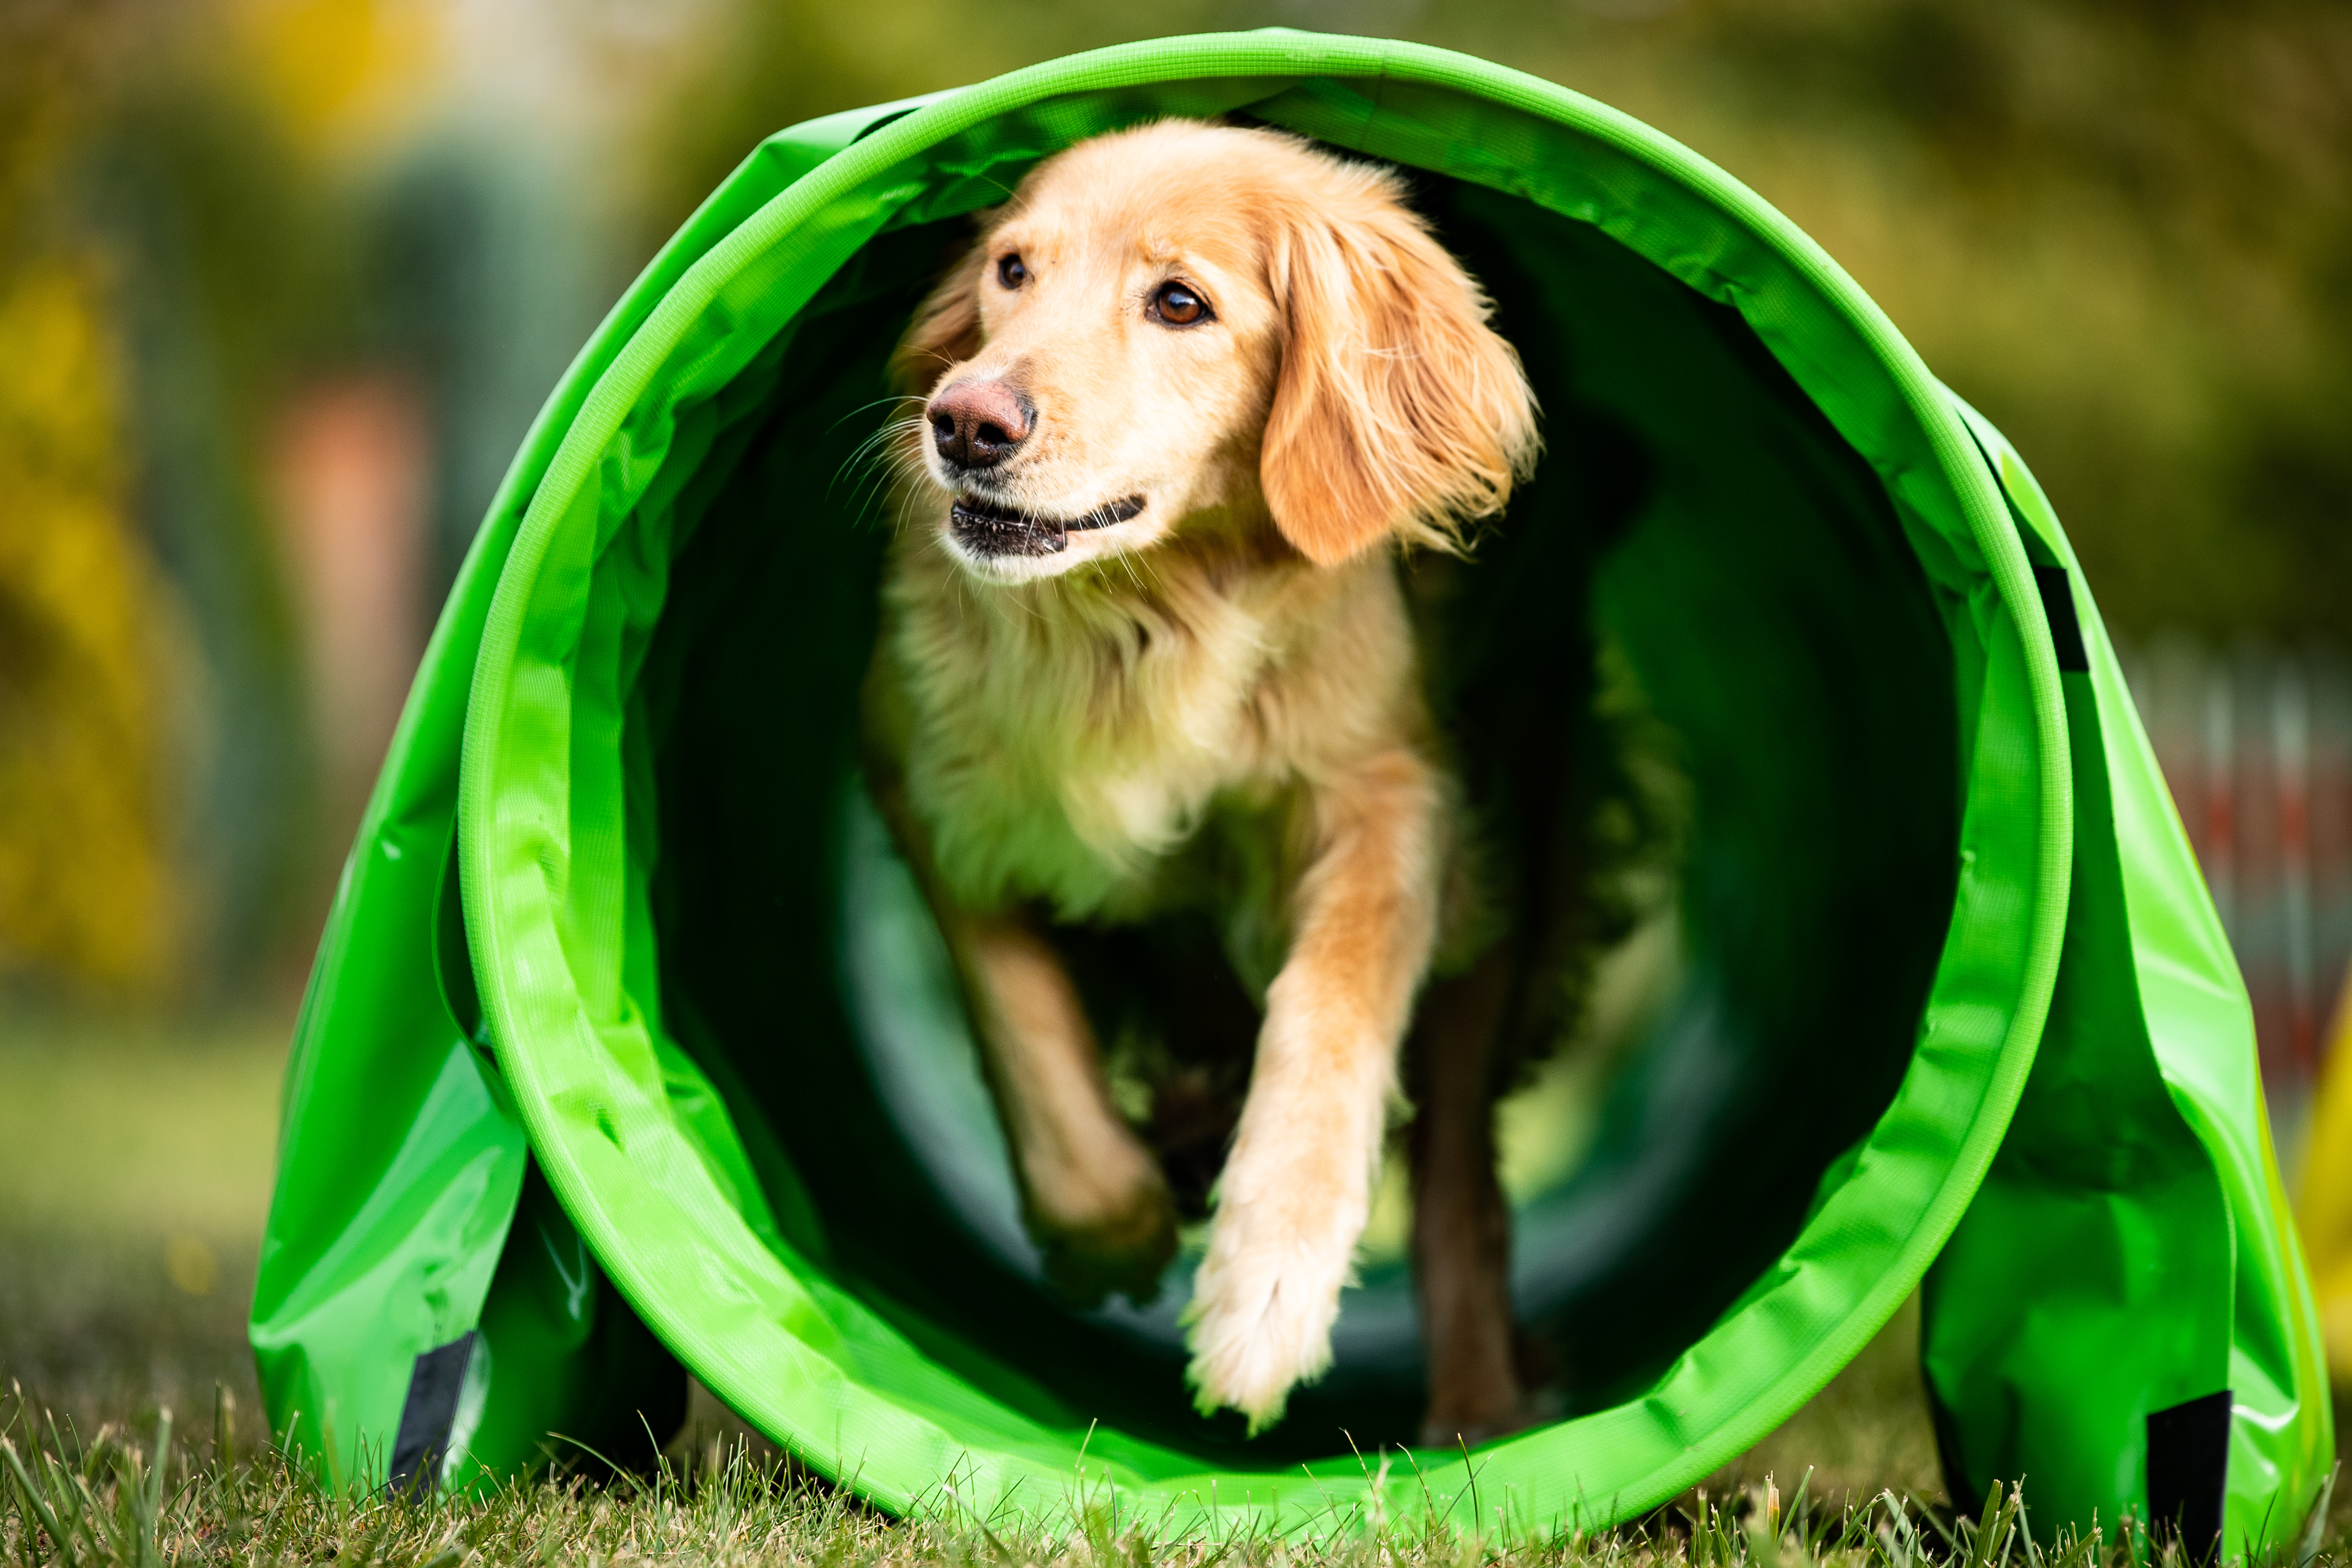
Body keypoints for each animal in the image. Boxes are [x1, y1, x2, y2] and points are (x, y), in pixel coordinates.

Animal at [865, 119, 1543, 1448]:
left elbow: (1331, 1016)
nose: (964, 421)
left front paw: (1263, 1301)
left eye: (1180, 303)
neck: (1145, 616)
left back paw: (1478, 1415)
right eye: (1012, 271)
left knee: (1461, 1190)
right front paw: (1115, 1233)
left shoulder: (1392, 793)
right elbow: (1026, 1029)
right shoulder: (927, 780)